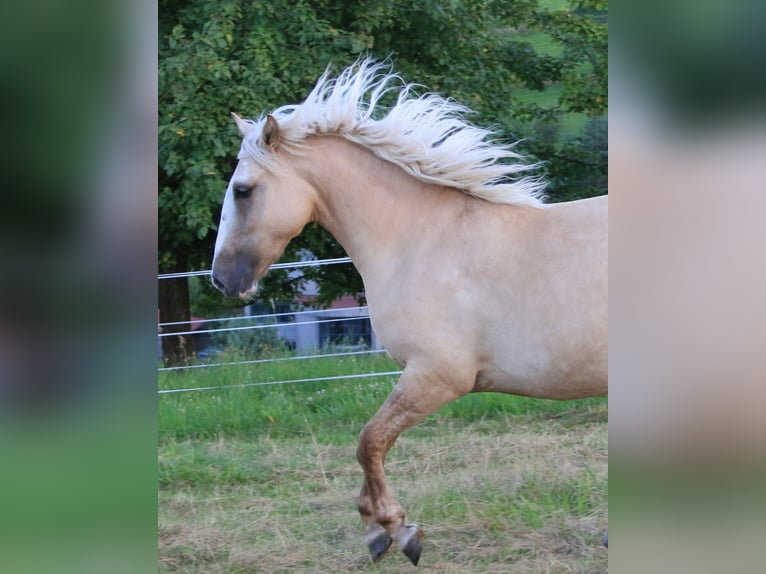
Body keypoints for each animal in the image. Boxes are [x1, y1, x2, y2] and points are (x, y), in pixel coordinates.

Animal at [213, 59, 608, 568]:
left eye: (243, 191)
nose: (221, 280)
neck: (418, 239)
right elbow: (372, 443)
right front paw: (378, 530)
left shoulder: (437, 375)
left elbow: (370, 441)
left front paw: (395, 531)